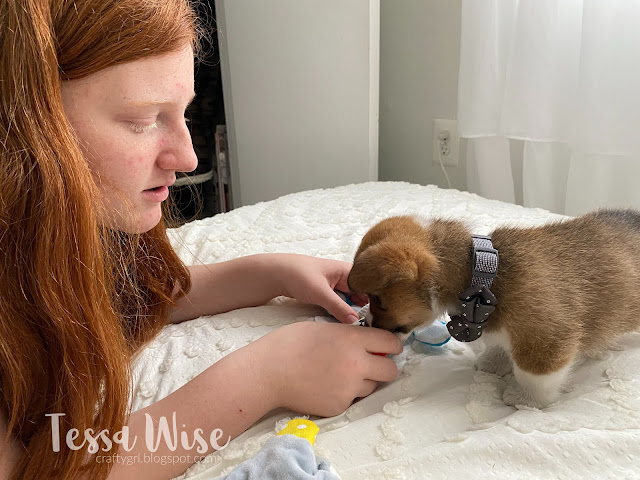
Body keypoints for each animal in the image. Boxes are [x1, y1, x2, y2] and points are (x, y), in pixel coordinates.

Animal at [348, 208, 640, 406]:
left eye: (378, 299)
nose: (366, 323)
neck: (481, 276)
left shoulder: (545, 339)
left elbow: (535, 375)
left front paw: (526, 399)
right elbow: (499, 346)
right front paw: (494, 361)